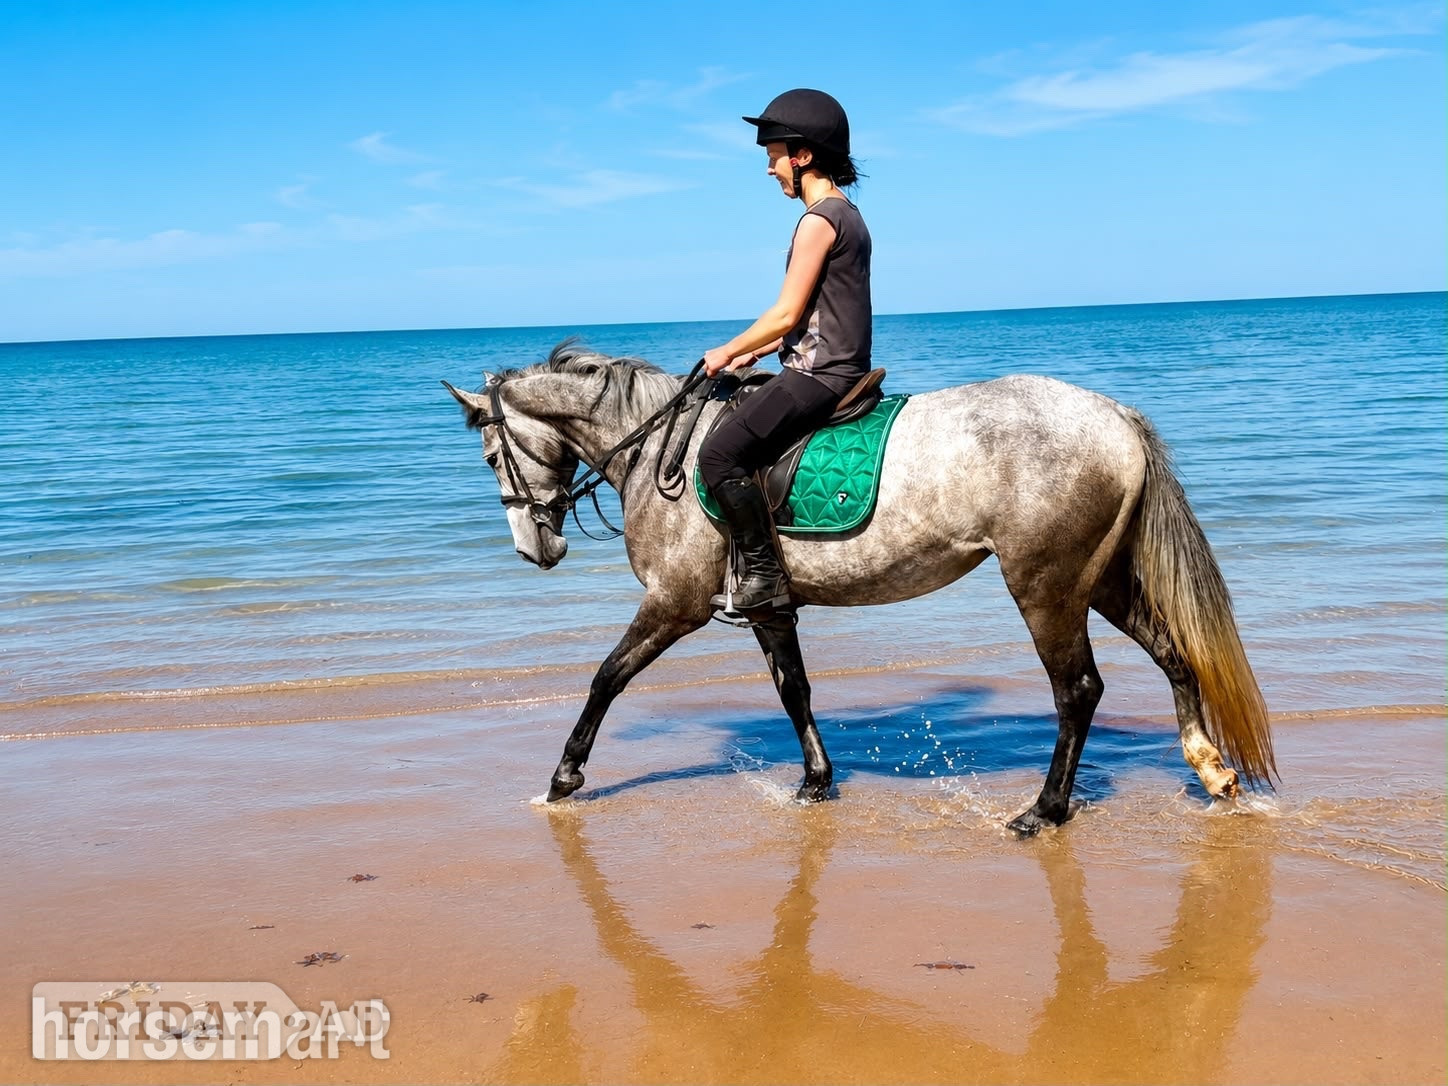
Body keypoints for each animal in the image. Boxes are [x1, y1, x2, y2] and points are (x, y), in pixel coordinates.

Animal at [444, 342, 1275, 835]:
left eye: (490, 454)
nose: (535, 549)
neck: (660, 451)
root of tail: (1114, 417)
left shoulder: (673, 604)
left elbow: (606, 677)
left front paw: (564, 778)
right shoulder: (767, 606)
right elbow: (794, 690)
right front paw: (815, 783)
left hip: (1046, 584)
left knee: (1078, 690)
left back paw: (1043, 811)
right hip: (1099, 579)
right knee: (1173, 653)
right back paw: (1210, 769)